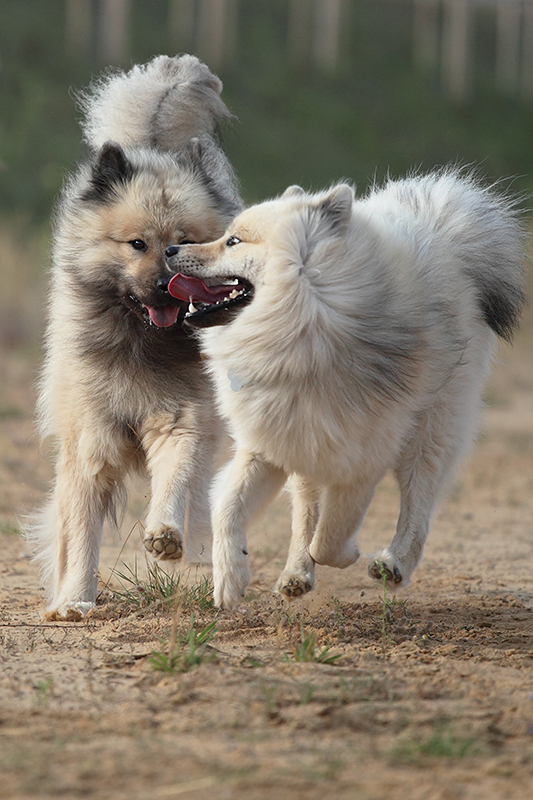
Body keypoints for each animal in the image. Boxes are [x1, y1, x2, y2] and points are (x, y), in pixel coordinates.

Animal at [30, 56, 242, 620]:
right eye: (138, 245)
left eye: (183, 244)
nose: (166, 284)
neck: (141, 346)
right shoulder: (91, 447)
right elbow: (82, 537)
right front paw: (74, 600)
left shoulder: (180, 421)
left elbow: (172, 481)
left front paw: (165, 534)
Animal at [165, 169, 524, 608]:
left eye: (234, 241)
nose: (170, 248)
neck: (303, 330)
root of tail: (443, 231)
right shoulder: (269, 445)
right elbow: (228, 509)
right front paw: (231, 579)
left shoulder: (359, 461)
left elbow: (331, 537)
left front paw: (349, 553)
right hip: (308, 450)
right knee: (305, 510)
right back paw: (296, 573)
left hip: (431, 434)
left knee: (418, 504)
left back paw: (394, 564)